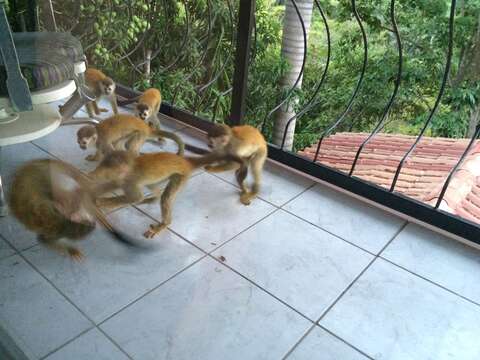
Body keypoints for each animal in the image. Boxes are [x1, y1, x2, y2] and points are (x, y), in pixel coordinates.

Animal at [8, 159, 141, 260]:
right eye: (87, 223)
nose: (93, 223)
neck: (64, 223)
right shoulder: (55, 231)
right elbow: (44, 241)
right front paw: (71, 250)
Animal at [89, 150, 242, 239]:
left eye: (106, 170)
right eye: (101, 166)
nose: (96, 172)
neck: (129, 169)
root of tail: (186, 161)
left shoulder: (130, 181)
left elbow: (135, 197)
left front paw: (102, 202)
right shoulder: (122, 180)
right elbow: (114, 188)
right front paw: (94, 193)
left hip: (181, 176)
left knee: (166, 197)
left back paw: (164, 223)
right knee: (153, 186)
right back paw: (153, 198)